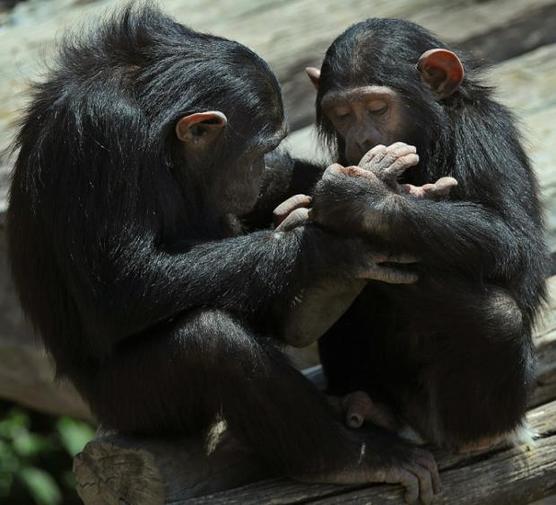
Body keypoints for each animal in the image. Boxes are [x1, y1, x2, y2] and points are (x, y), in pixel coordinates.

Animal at [4, 5, 440, 502]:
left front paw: (371, 192)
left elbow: (281, 182)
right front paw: (328, 248)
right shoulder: (101, 136)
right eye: (260, 147)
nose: (263, 165)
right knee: (212, 343)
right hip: (131, 407)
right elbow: (120, 285)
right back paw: (345, 456)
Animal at [296, 19, 548, 452]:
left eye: (377, 108)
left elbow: (511, 239)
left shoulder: (485, 136)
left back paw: (485, 435)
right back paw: (367, 403)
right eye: (341, 114)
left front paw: (358, 197)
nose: (362, 138)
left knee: (497, 319)